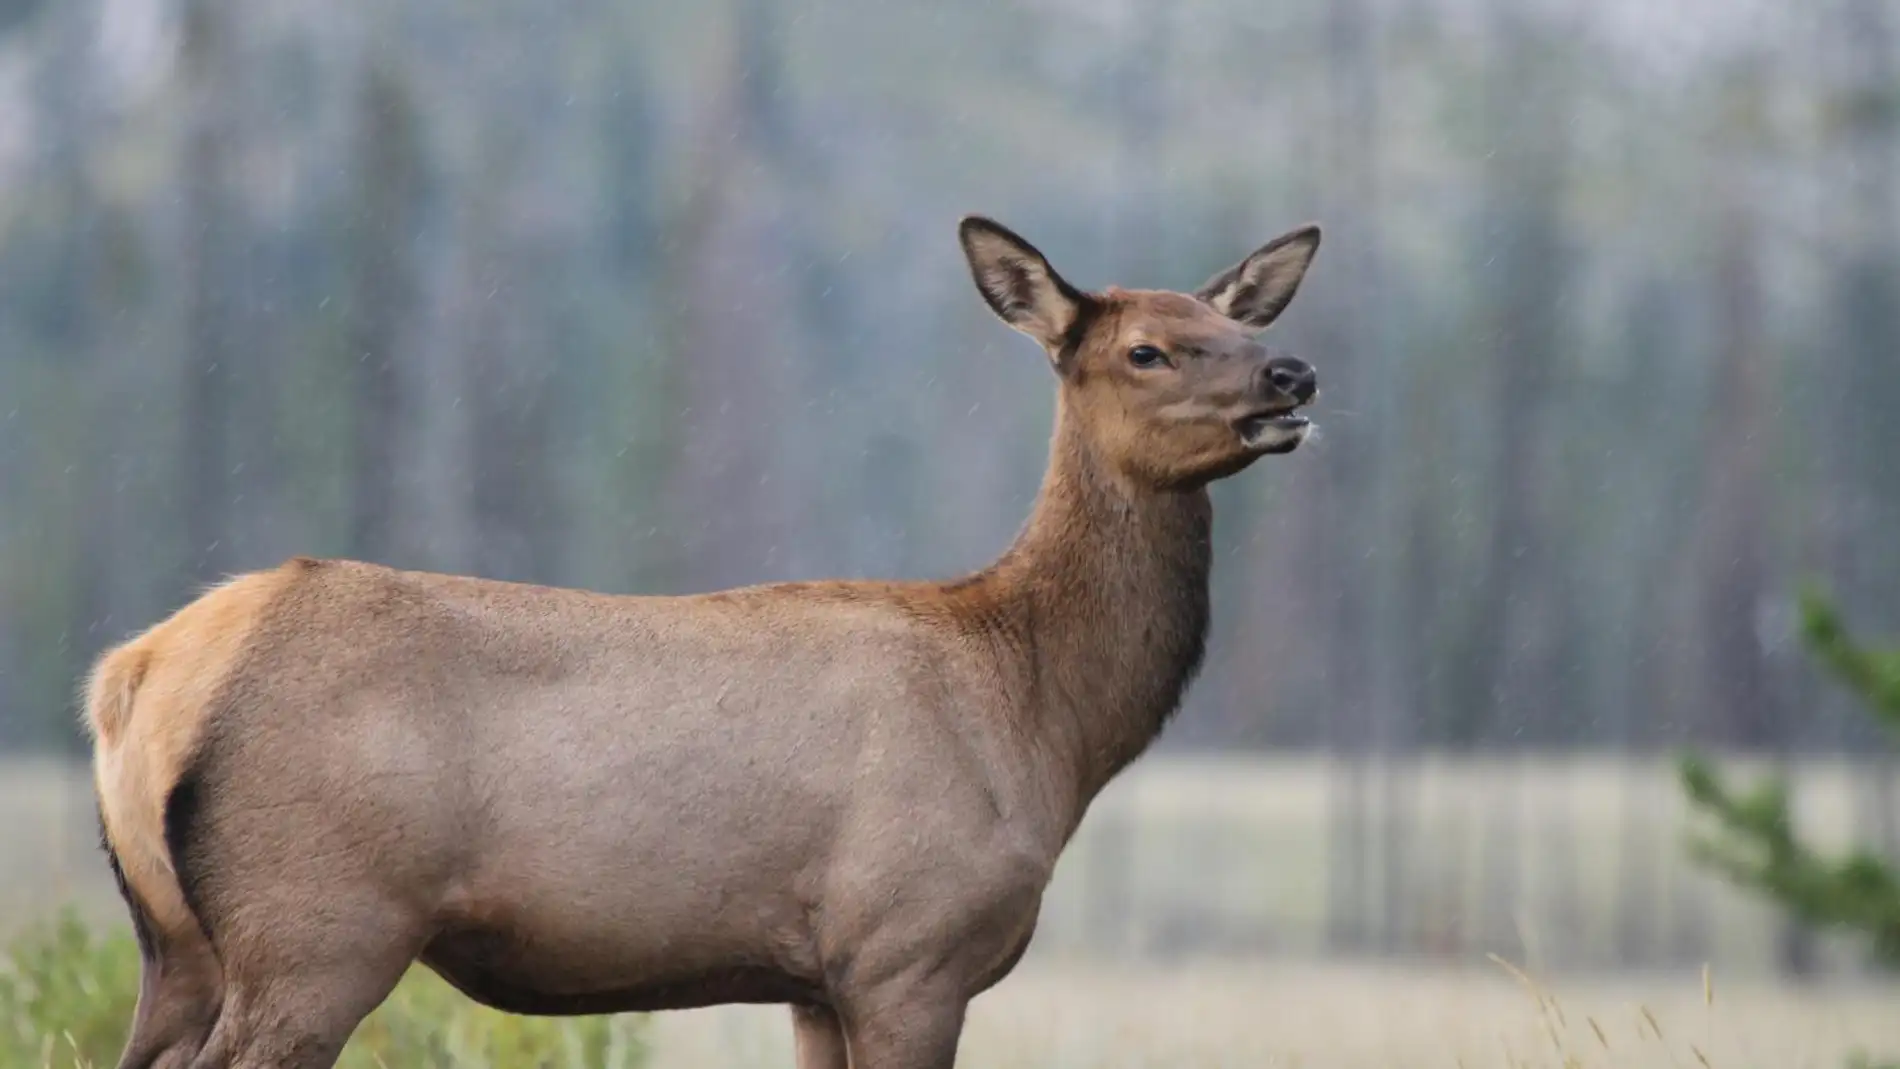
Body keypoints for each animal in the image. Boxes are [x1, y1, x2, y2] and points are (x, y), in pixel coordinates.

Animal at [85, 213, 1322, 1063]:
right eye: (1147, 350)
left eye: (1239, 321)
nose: (1294, 371)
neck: (1044, 719)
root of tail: (131, 679)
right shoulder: (909, 944)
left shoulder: (816, 980)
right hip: (318, 923)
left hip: (177, 941)